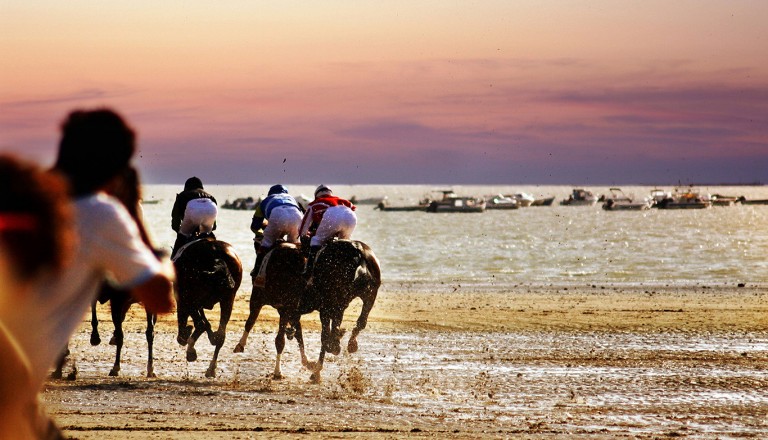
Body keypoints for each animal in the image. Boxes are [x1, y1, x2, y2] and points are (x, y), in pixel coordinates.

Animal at [172, 235, 242, 376]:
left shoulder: (185, 300)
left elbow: (198, 323)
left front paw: (187, 341)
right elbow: (206, 324)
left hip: (190, 298)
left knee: (200, 324)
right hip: (228, 299)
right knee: (221, 335)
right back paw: (211, 368)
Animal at [232, 241, 310, 378]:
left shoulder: (286, 307)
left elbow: (282, 339)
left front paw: (278, 371)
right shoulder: (258, 298)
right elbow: (250, 322)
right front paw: (240, 345)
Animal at [304, 239, 380, 384]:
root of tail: (358, 252)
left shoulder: (328, 307)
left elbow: (326, 335)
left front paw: (316, 372)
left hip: (337, 302)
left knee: (329, 333)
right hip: (370, 295)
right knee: (361, 322)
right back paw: (351, 344)